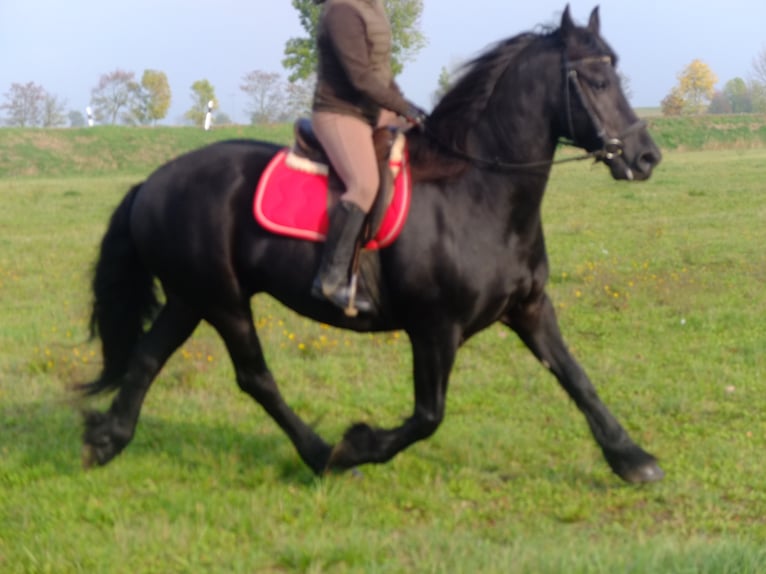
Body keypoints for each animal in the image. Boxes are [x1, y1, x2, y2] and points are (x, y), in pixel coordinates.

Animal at [79, 7, 664, 486]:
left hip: (191, 297)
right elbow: (428, 416)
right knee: (254, 377)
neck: (478, 193)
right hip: (223, 302)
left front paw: (632, 459)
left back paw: (106, 439)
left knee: (148, 357)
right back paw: (324, 456)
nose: (646, 156)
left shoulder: (530, 308)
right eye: (596, 80)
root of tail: (153, 182)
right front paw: (357, 444)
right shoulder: (435, 329)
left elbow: (576, 378)